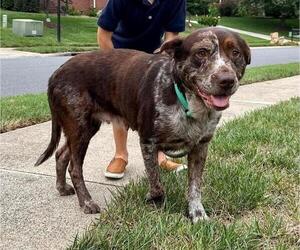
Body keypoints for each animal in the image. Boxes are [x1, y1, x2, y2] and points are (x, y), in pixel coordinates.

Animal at [35, 27, 251, 223]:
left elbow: (195, 187)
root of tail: (57, 72)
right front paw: (155, 202)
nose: (226, 80)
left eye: (235, 53)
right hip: (80, 127)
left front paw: (197, 214)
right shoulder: (148, 141)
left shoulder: (200, 147)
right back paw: (86, 202)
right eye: (202, 52)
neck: (186, 101)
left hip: (84, 128)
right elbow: (156, 183)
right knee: (75, 168)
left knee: (61, 154)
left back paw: (62, 187)